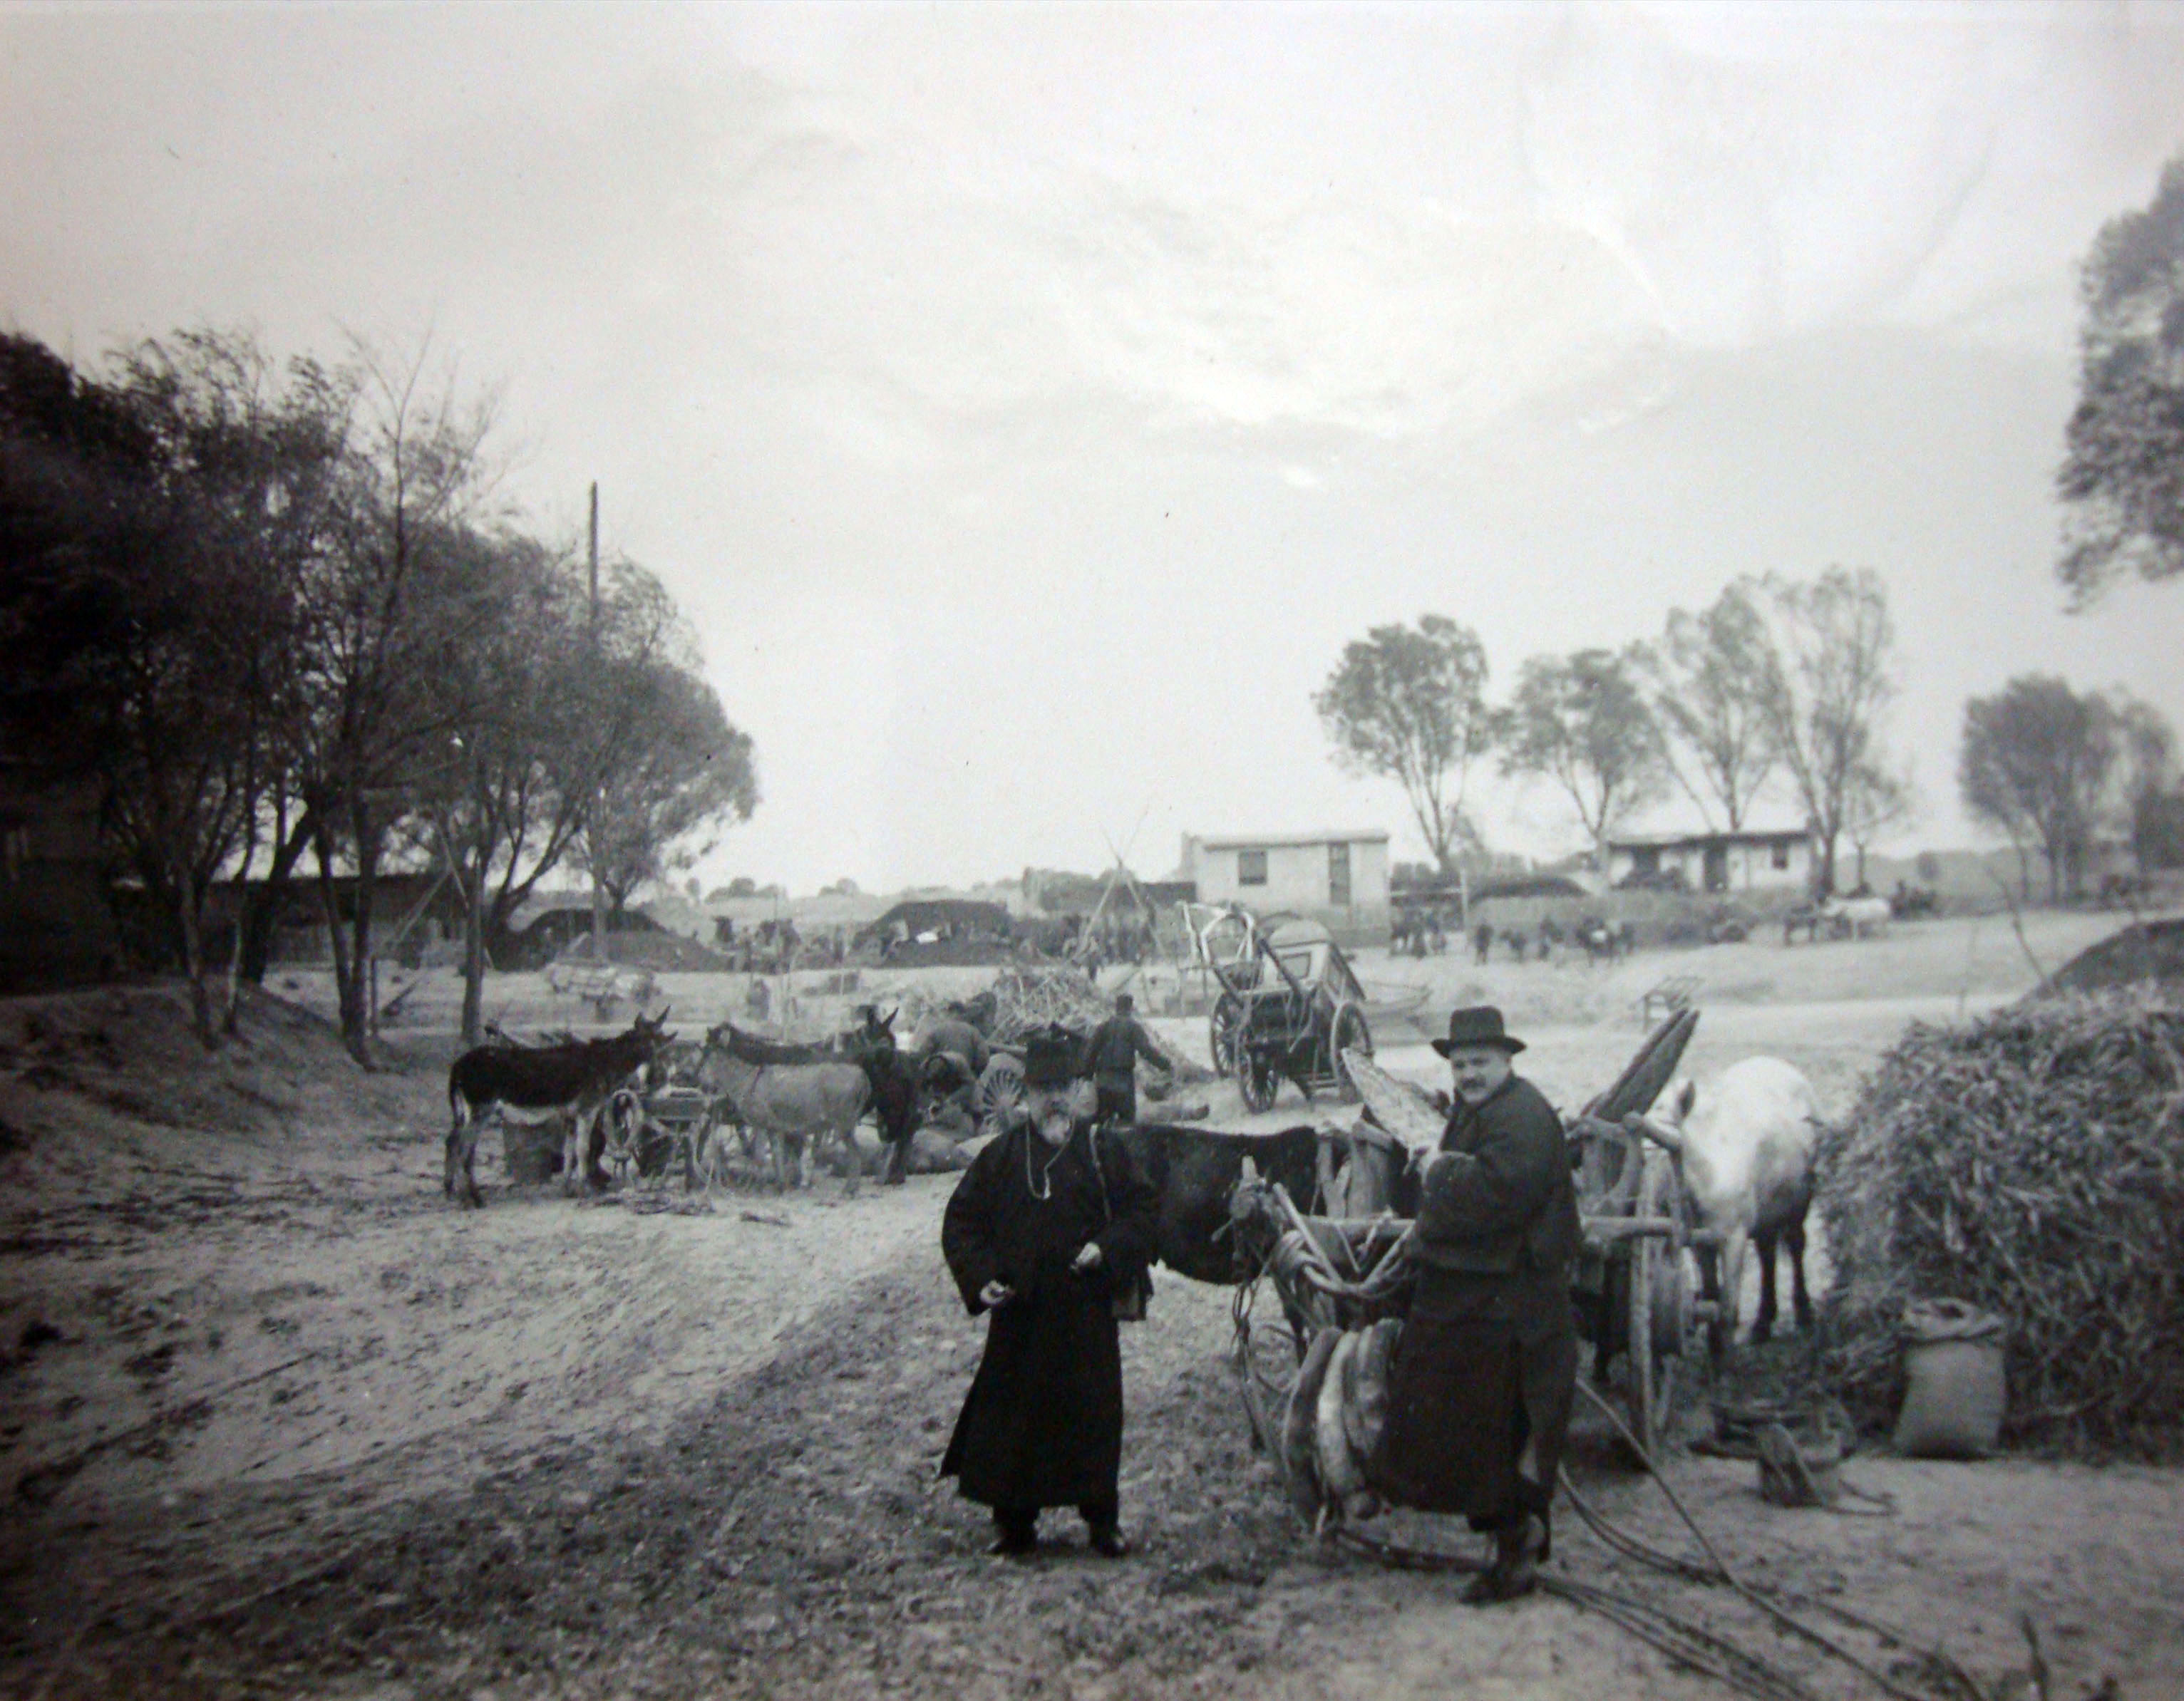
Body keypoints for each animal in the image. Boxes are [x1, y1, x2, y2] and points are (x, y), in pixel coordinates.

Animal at [444, 1010, 673, 1208]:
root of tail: (457, 1066)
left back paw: (453, 1192)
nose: (661, 1078)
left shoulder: (570, 1115)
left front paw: (567, 1189)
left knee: (453, 1142)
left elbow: (569, 1151)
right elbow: (583, 1149)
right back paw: (472, 1199)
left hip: (467, 1112)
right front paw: (583, 1190)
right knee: (463, 1148)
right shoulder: (587, 1109)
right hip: (480, 1109)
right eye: (655, 1041)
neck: (604, 1063)